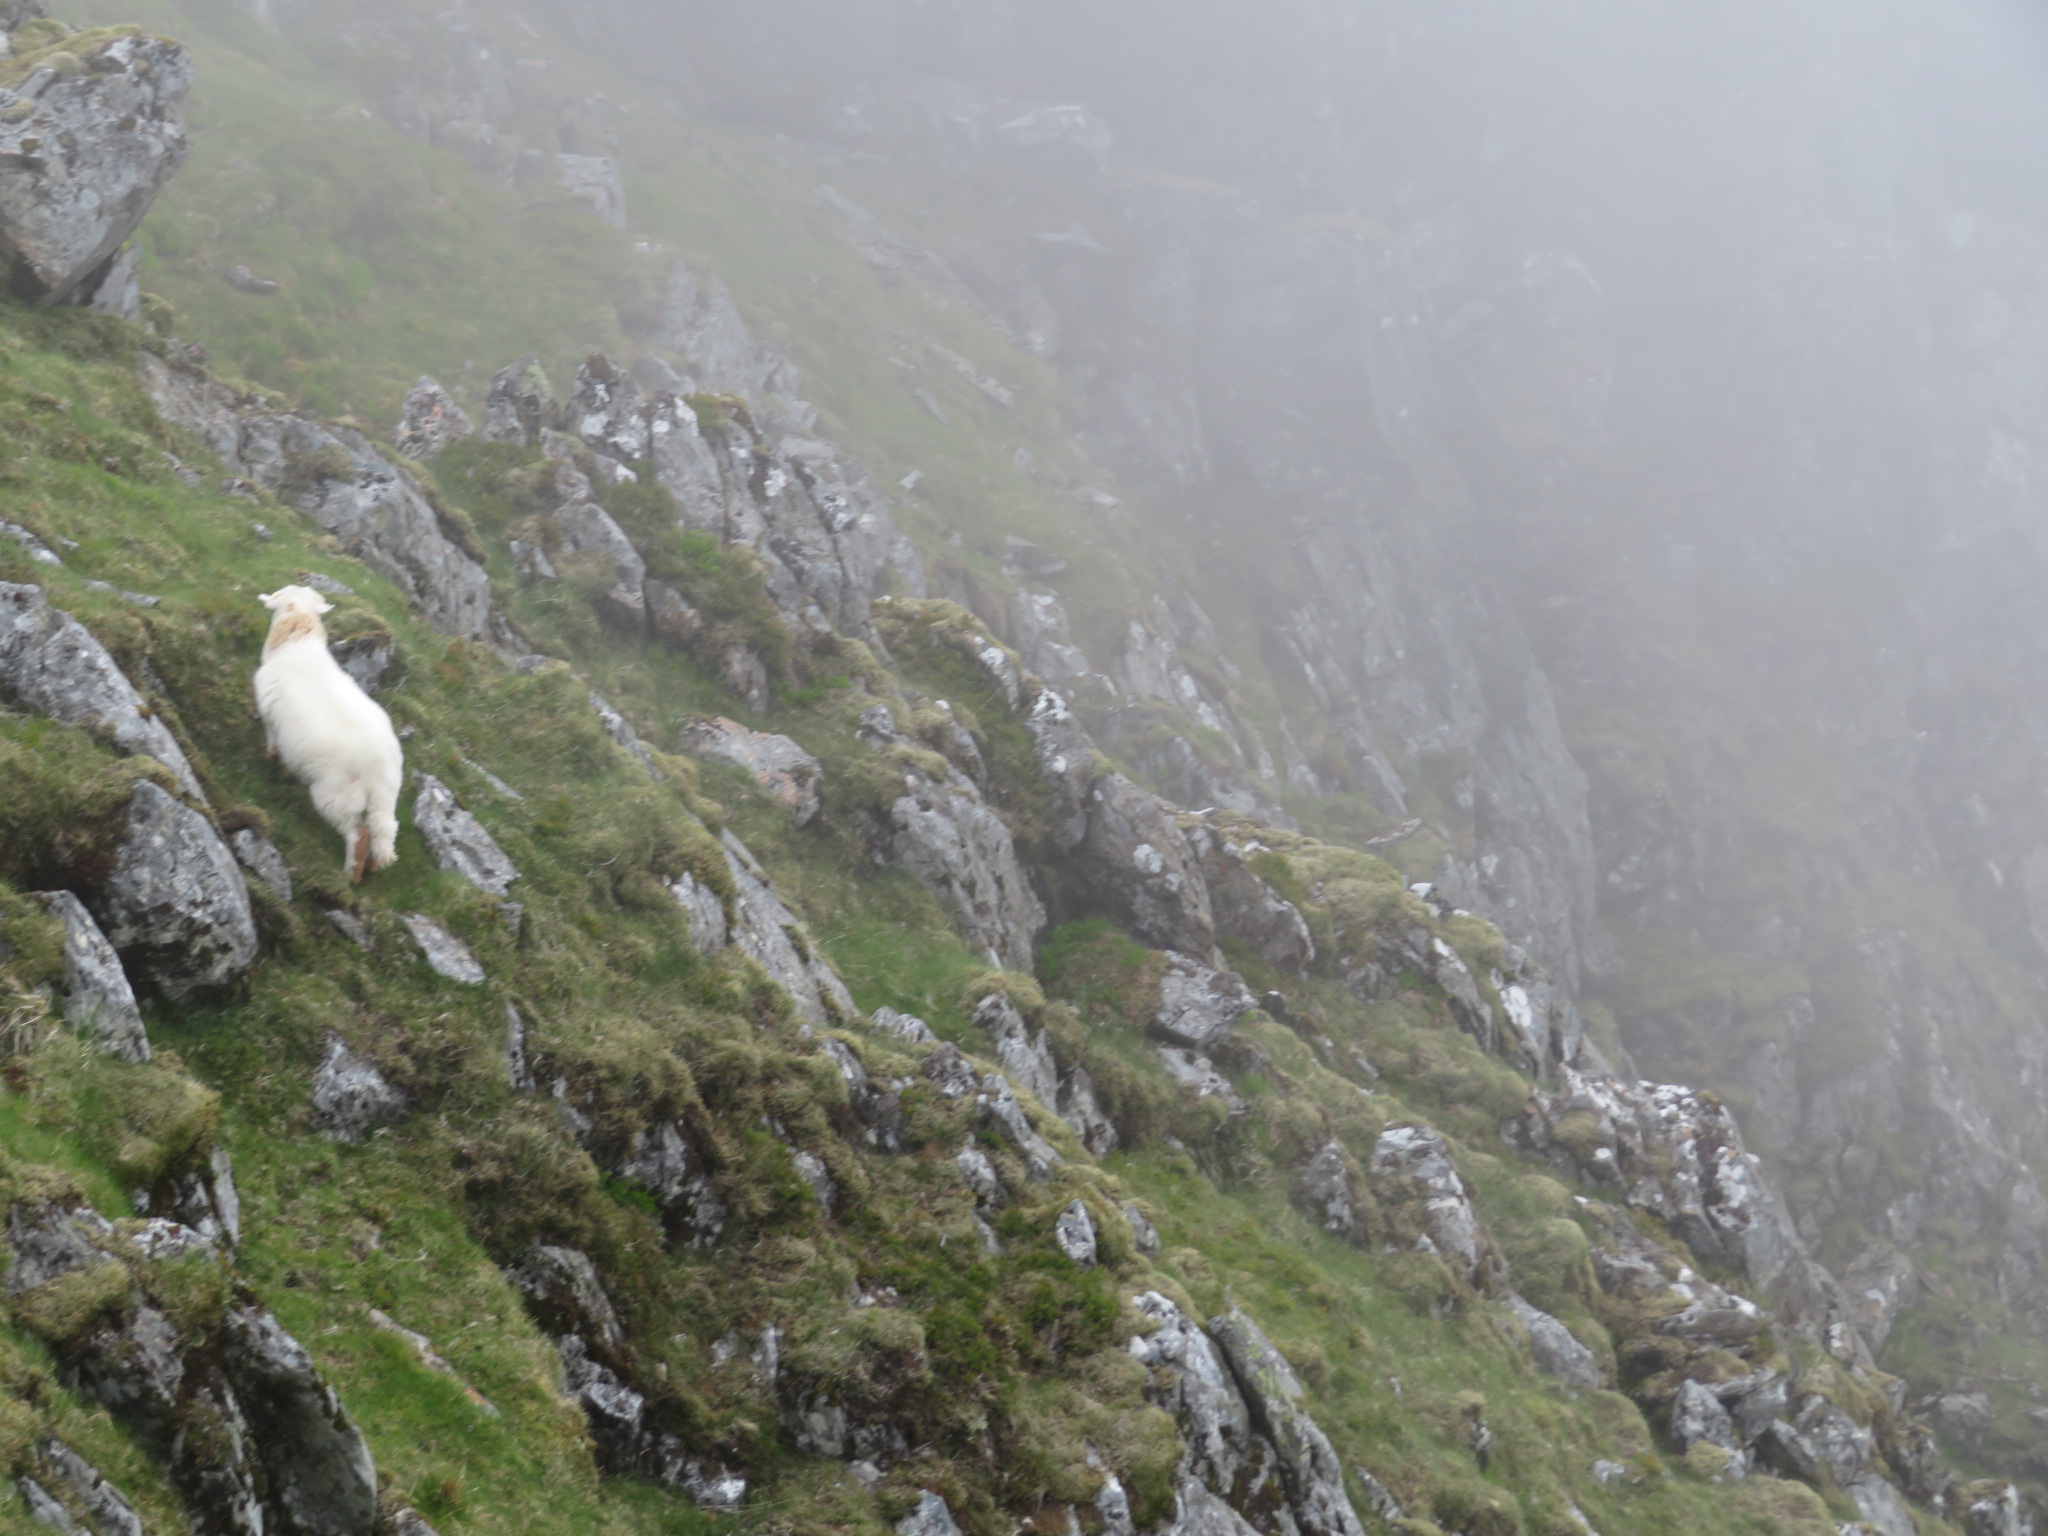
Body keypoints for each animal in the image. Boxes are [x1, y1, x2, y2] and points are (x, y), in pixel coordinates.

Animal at [253, 585, 401, 884]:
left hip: (337, 795)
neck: (296, 643)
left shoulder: (271, 718)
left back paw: (351, 876)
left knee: (358, 834)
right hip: (385, 798)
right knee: (382, 831)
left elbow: (273, 744)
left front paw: (272, 762)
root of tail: (380, 768)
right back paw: (369, 868)